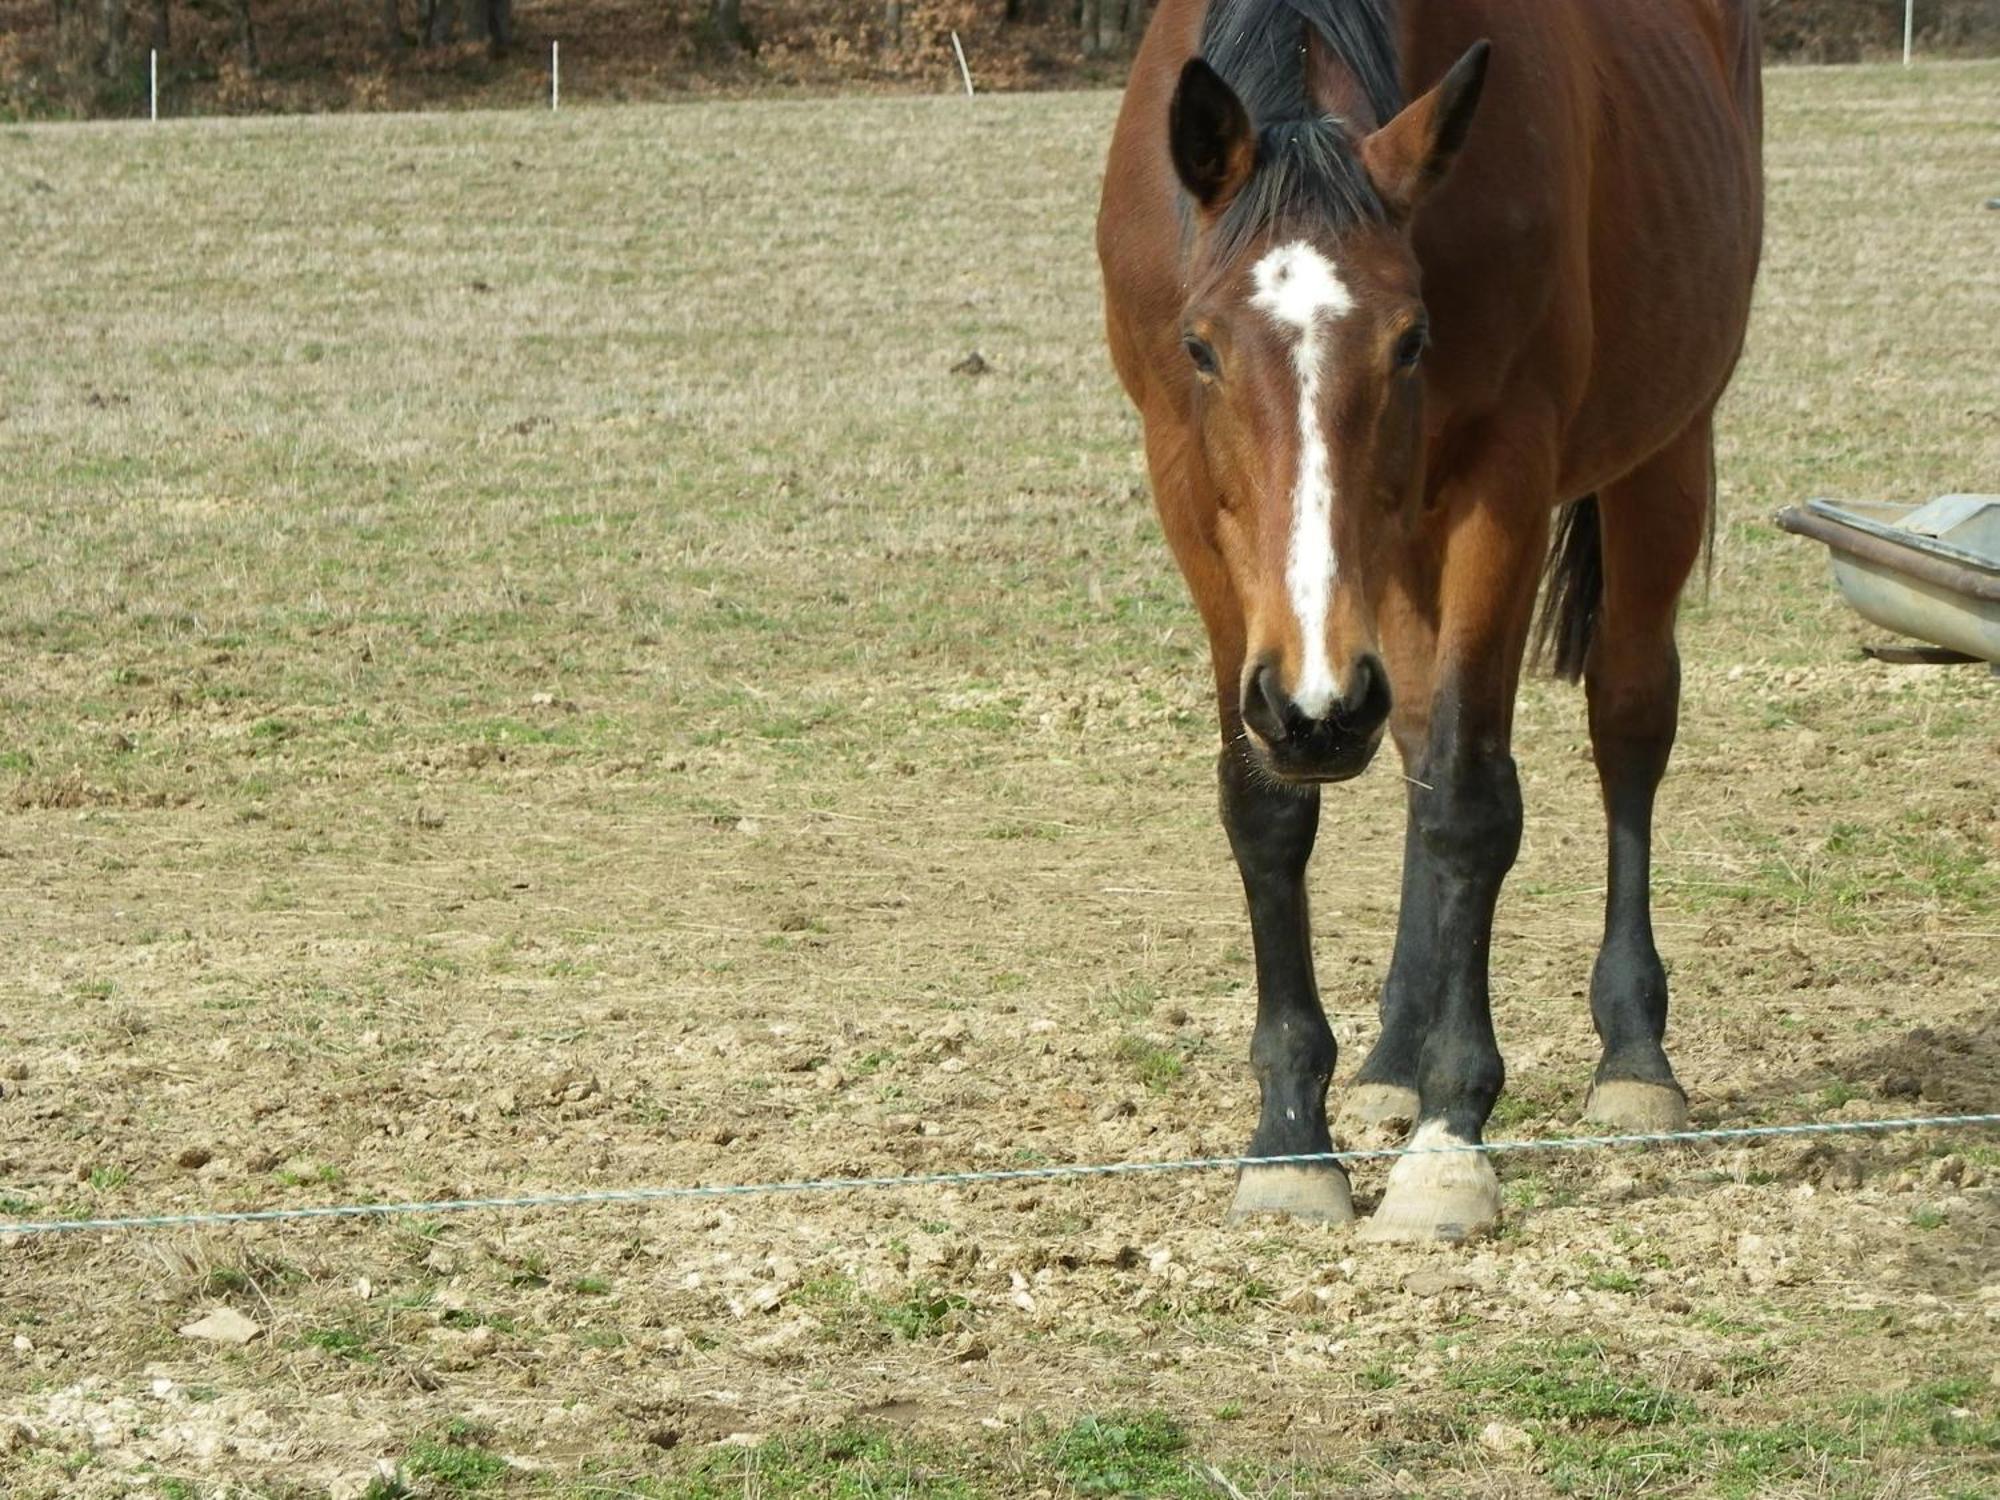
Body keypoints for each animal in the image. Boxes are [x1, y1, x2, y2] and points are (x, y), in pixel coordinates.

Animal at [1096, 0, 1768, 1248]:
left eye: (1409, 340)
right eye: (1199, 347)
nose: (1314, 711)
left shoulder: (1502, 480)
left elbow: (1467, 798)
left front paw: (1449, 1143)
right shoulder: (1186, 490)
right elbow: (1268, 813)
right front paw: (1290, 1137)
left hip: (1661, 452)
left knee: (1627, 718)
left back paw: (1629, 1054)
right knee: (1406, 728)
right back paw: (1392, 1058)